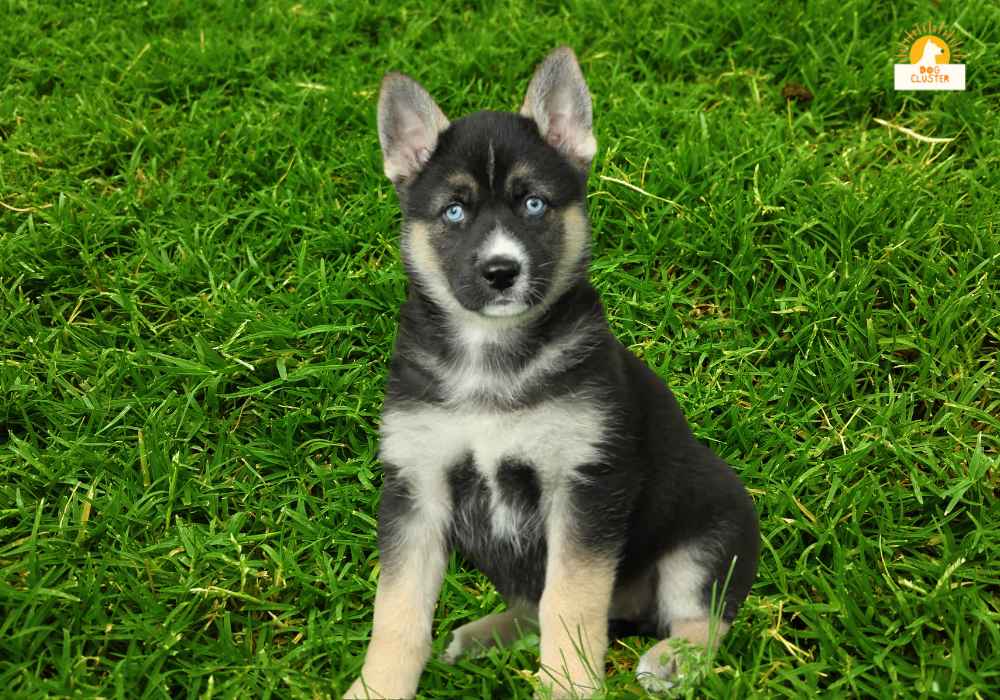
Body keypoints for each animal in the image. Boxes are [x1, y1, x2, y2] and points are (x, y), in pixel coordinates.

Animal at [344, 46, 756, 696]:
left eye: (533, 203)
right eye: (454, 212)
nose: (500, 272)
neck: (490, 357)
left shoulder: (583, 486)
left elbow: (571, 603)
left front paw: (568, 685)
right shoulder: (417, 486)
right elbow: (398, 611)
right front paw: (377, 687)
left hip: (705, 538)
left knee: (706, 618)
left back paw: (673, 659)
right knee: (531, 602)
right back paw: (485, 634)